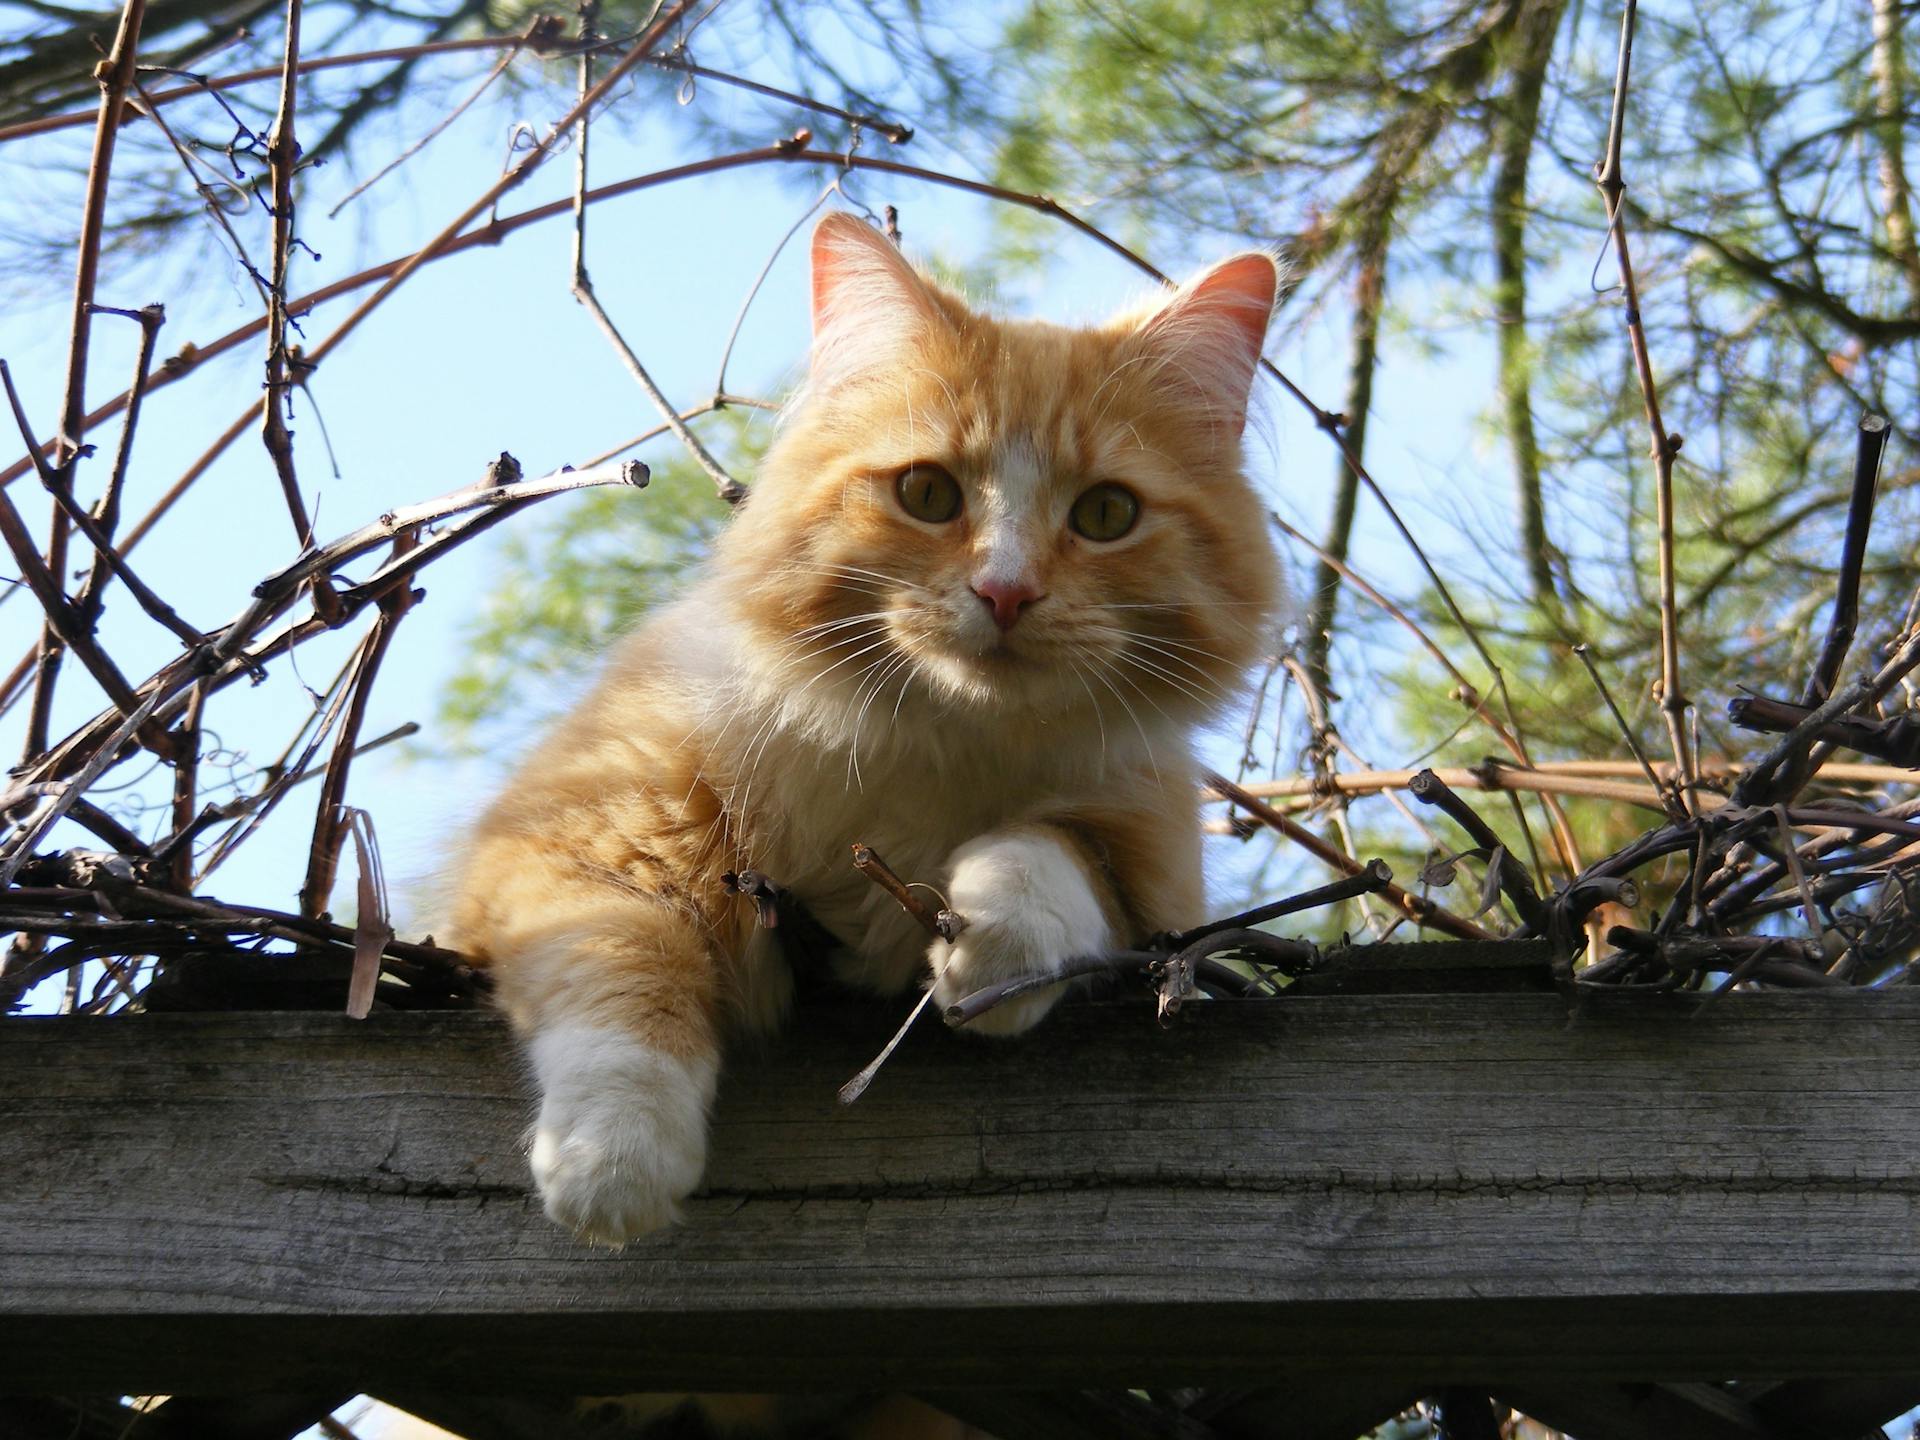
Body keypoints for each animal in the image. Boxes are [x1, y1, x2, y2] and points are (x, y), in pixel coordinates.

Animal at [447, 214, 1282, 1251]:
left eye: (1105, 514)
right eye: (927, 495)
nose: (1006, 592)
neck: (933, 747)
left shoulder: (1155, 862)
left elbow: (1053, 853)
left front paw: (996, 945)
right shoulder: (571, 844)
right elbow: (629, 970)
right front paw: (614, 1164)